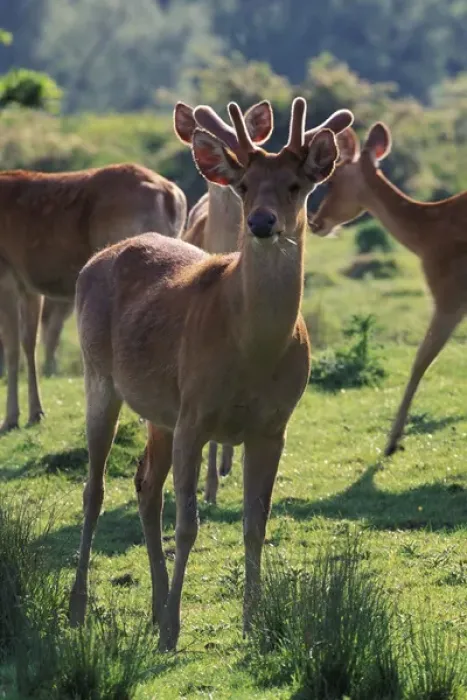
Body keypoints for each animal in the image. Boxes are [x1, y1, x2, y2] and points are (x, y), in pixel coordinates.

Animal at [0, 163, 186, 434]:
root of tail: (171, 196)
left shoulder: (6, 272)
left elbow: (12, 347)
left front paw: (10, 418)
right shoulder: (30, 285)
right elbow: (29, 343)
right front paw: (36, 413)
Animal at [68, 96, 354, 651]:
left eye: (296, 184)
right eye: (243, 184)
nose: (262, 222)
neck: (252, 353)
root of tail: (94, 260)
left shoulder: (273, 425)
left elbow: (254, 524)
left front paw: (253, 621)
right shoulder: (196, 413)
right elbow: (189, 525)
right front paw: (173, 632)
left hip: (160, 410)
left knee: (145, 486)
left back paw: (155, 605)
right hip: (99, 375)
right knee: (94, 490)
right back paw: (78, 609)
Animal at [309, 121, 467, 456]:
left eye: (333, 179)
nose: (316, 222)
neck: (427, 237)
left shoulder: (448, 295)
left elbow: (420, 359)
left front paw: (392, 442)